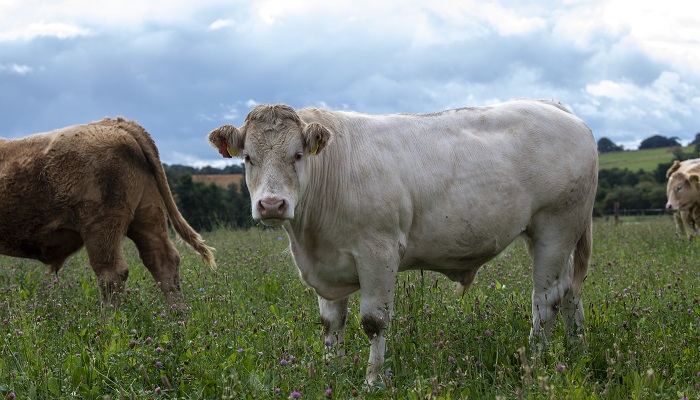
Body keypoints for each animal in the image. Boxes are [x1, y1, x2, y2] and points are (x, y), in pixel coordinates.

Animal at [0, 118, 215, 308]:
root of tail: (114, 123)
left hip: (100, 227)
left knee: (112, 275)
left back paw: (108, 325)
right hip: (148, 217)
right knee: (163, 263)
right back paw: (179, 317)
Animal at [207, 99, 598, 384]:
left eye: (298, 155)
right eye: (248, 158)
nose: (272, 204)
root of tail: (557, 107)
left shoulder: (377, 252)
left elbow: (373, 322)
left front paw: (372, 380)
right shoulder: (326, 265)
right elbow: (331, 324)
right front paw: (331, 374)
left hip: (556, 225)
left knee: (545, 299)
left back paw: (536, 359)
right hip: (554, 233)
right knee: (569, 291)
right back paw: (576, 349)